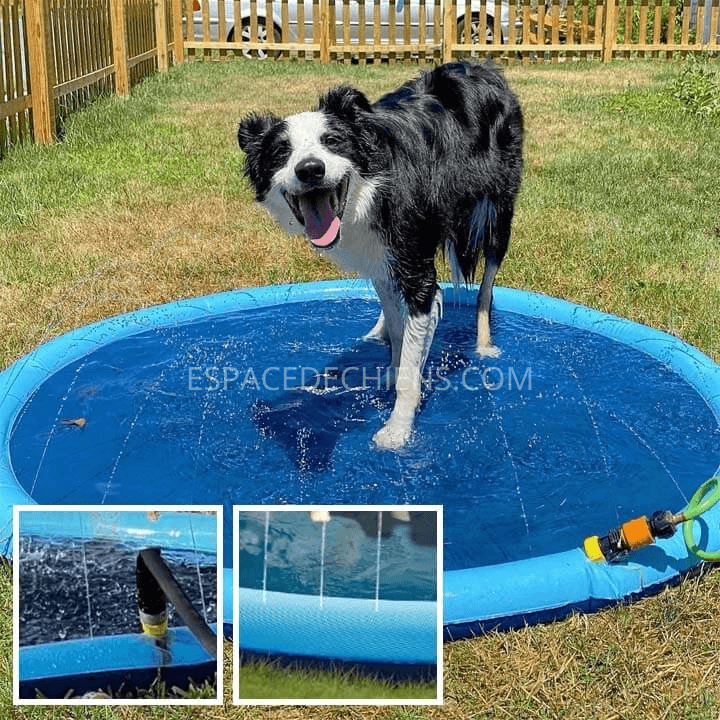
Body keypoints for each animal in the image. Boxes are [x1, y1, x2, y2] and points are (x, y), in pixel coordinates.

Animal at [236, 60, 524, 450]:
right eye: (281, 152)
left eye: (332, 141)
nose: (310, 169)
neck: (370, 192)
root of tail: (480, 66)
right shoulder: (382, 259)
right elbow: (400, 330)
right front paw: (392, 366)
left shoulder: (417, 271)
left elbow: (414, 351)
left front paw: (397, 429)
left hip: (496, 213)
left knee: (485, 289)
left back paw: (483, 344)